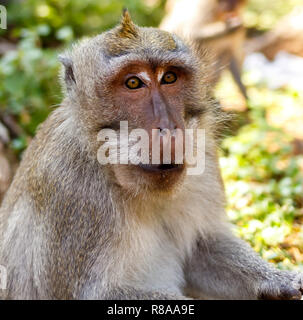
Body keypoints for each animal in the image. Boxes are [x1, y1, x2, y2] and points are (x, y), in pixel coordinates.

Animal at [0, 10, 302, 300]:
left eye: (169, 78)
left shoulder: (204, 157)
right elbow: (93, 294)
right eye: (134, 82)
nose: (168, 128)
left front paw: (280, 281)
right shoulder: (71, 191)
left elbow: (201, 250)